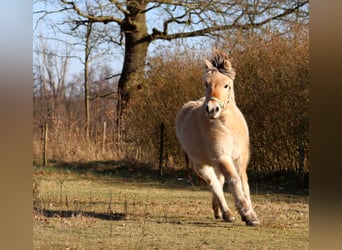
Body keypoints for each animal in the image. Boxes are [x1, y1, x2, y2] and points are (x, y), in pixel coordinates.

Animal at [176, 49, 260, 226]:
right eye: (206, 84)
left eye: (226, 85)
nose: (212, 109)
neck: (227, 126)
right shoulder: (222, 157)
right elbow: (234, 181)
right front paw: (248, 214)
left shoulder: (240, 158)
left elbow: (243, 182)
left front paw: (249, 213)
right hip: (201, 164)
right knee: (214, 185)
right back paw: (227, 213)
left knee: (219, 182)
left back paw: (219, 211)